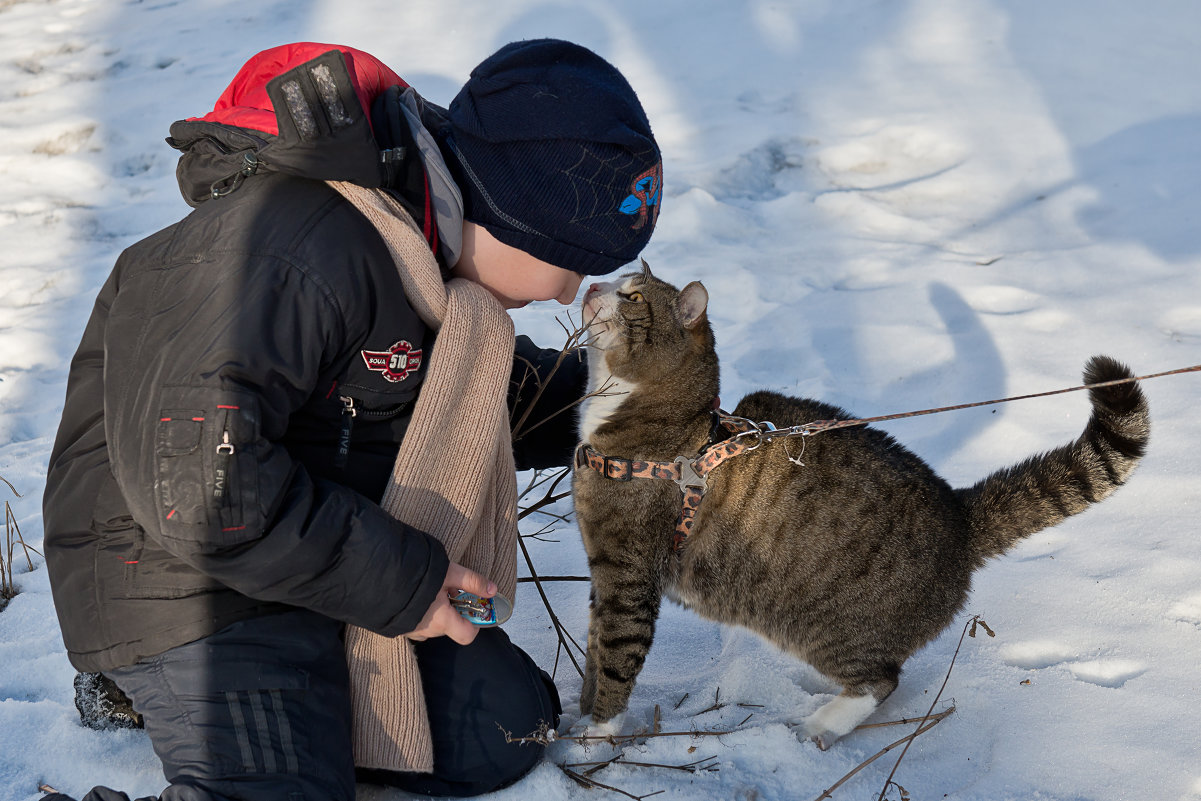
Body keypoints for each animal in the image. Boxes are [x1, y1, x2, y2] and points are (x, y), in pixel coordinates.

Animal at [576, 264, 1148, 754]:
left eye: (633, 297)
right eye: (615, 280)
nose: (590, 285)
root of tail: (959, 514)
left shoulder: (628, 574)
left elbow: (617, 654)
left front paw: (596, 733)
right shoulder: (602, 574)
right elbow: (594, 645)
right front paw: (577, 710)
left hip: (829, 628)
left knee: (881, 680)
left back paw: (821, 724)